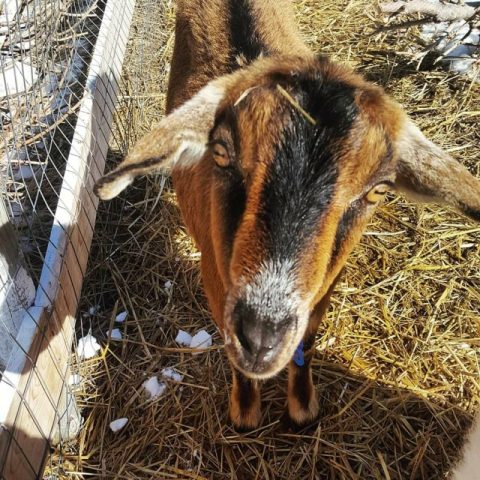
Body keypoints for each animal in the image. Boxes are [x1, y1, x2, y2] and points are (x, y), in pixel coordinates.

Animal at [94, 0, 480, 432]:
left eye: (379, 190)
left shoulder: (323, 287)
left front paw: (303, 407)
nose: (261, 338)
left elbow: (307, 342)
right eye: (221, 152)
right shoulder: (216, 281)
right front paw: (244, 414)